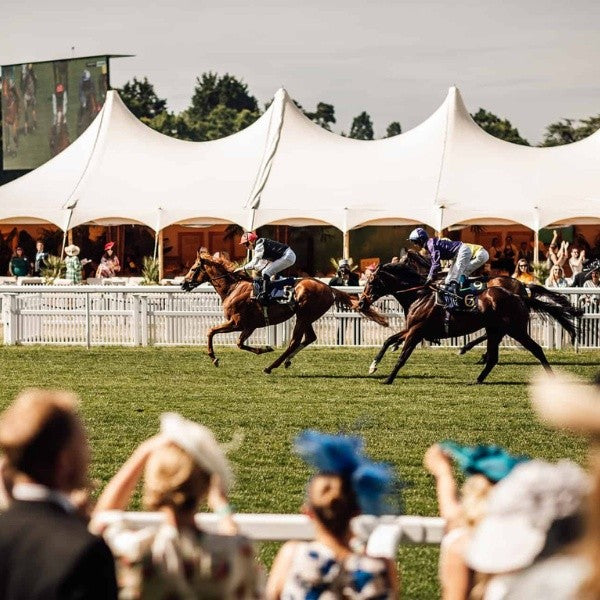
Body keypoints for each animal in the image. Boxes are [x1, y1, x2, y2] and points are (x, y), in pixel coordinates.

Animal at [183, 253, 390, 376]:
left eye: (193, 269)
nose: (184, 284)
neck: (233, 288)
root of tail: (329, 288)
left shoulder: (237, 323)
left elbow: (211, 332)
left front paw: (214, 357)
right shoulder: (250, 325)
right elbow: (240, 343)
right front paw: (264, 348)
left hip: (303, 316)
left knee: (294, 341)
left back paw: (271, 366)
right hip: (306, 317)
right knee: (309, 338)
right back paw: (286, 361)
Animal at [356, 262, 580, 384]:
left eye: (372, 282)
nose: (360, 302)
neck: (419, 295)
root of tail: (519, 295)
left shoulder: (416, 331)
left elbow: (403, 357)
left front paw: (388, 379)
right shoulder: (411, 329)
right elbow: (388, 340)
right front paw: (373, 366)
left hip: (515, 329)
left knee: (536, 349)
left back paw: (552, 378)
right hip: (496, 329)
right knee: (493, 357)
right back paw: (477, 379)